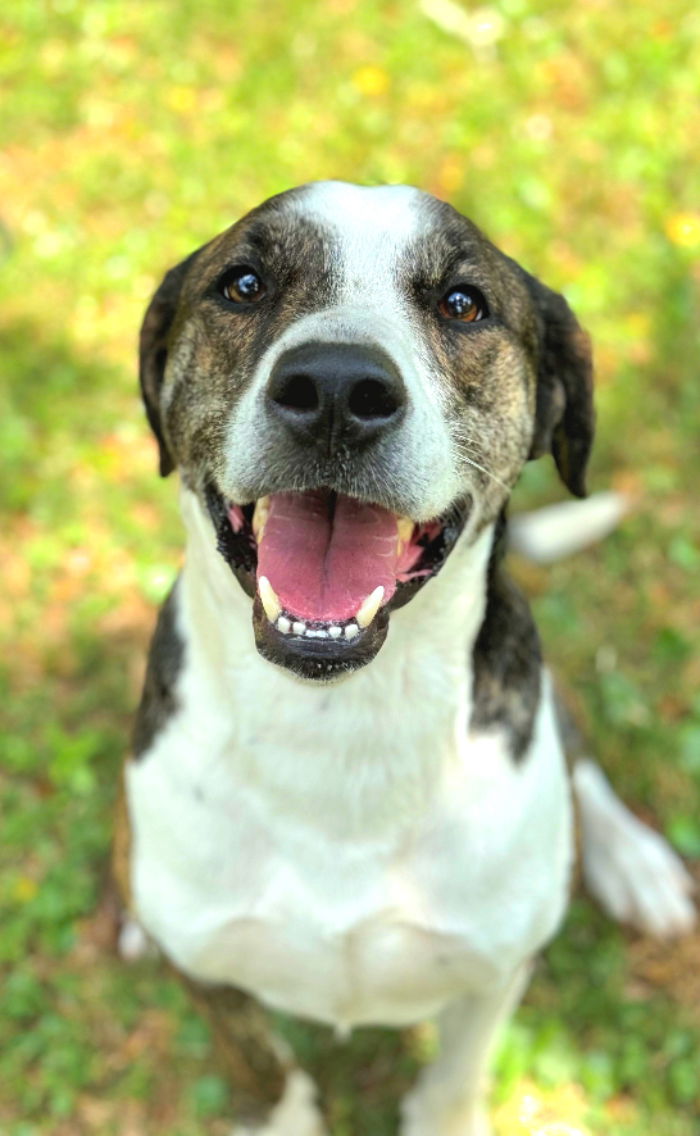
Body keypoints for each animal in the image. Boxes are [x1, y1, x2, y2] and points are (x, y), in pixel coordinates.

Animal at [114, 181, 695, 1131]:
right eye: (243, 284)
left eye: (463, 304)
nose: (335, 389)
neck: (340, 717)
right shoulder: (212, 978)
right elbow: (265, 1074)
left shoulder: (494, 972)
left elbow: (454, 1080)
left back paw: (632, 859)